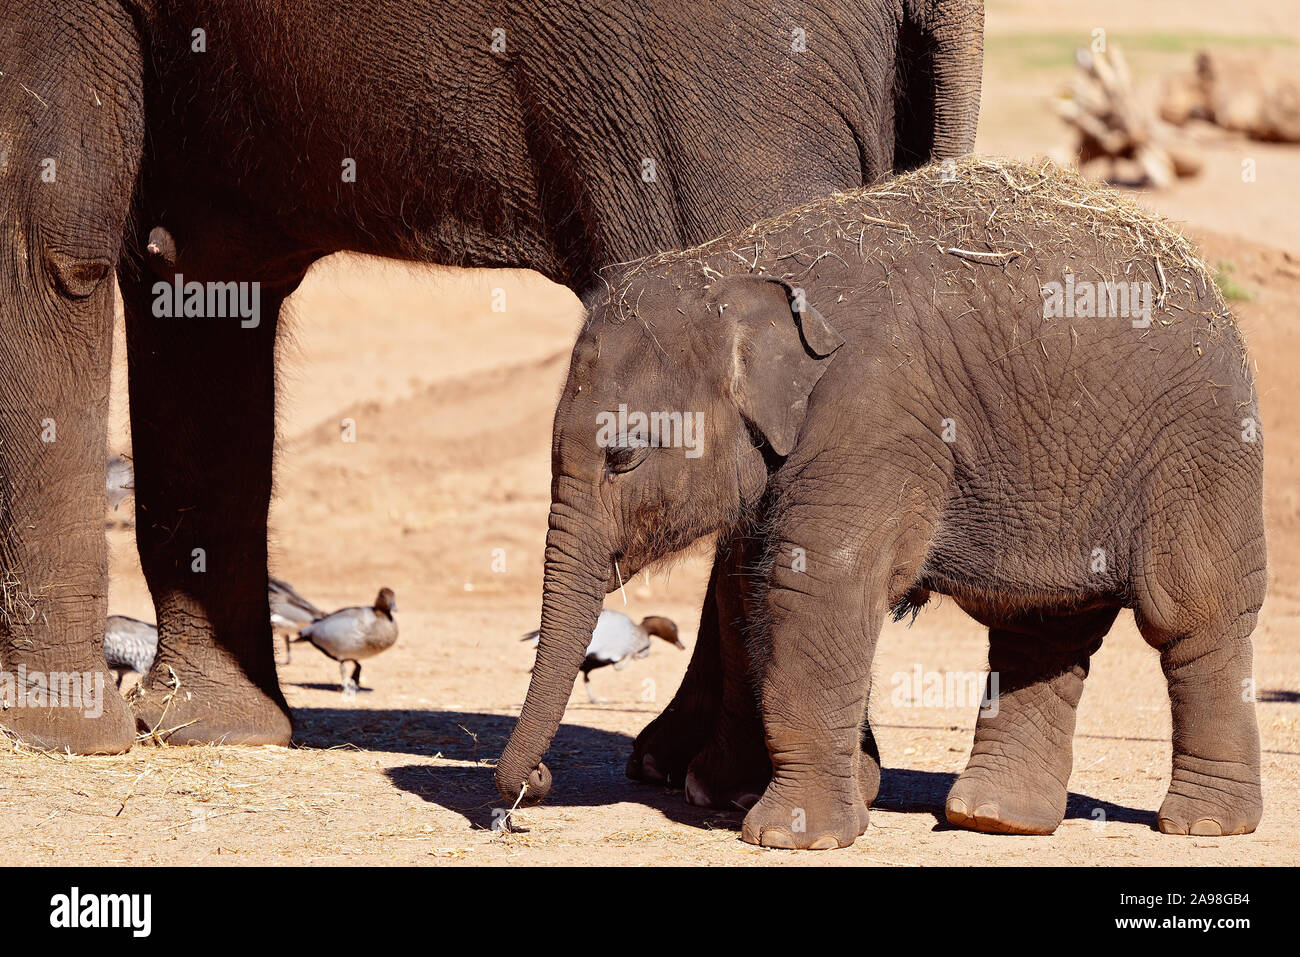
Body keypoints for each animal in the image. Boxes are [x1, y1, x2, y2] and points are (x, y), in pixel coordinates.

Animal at [0, 0, 977, 754]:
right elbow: (196, 280)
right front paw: (203, 732)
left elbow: (47, 234)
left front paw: (61, 736)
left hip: (719, 82)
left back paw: (719, 777)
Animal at [493, 158, 1258, 852]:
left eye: (624, 454)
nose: (531, 788)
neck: (738, 266)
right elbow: (751, 586)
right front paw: (749, 792)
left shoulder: (874, 414)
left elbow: (816, 583)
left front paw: (791, 835)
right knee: (1042, 624)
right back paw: (995, 819)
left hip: (1201, 446)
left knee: (1193, 616)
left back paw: (1203, 825)